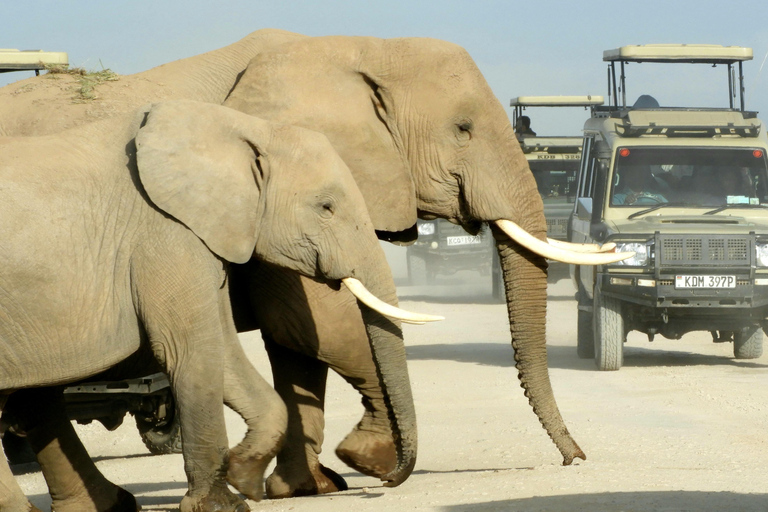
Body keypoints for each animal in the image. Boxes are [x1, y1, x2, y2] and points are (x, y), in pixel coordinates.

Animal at [0, 99, 432, 512]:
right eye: (326, 206)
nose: (387, 481)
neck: (243, 128)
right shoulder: (165, 234)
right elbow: (190, 350)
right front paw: (224, 504)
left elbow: (222, 349)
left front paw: (246, 477)